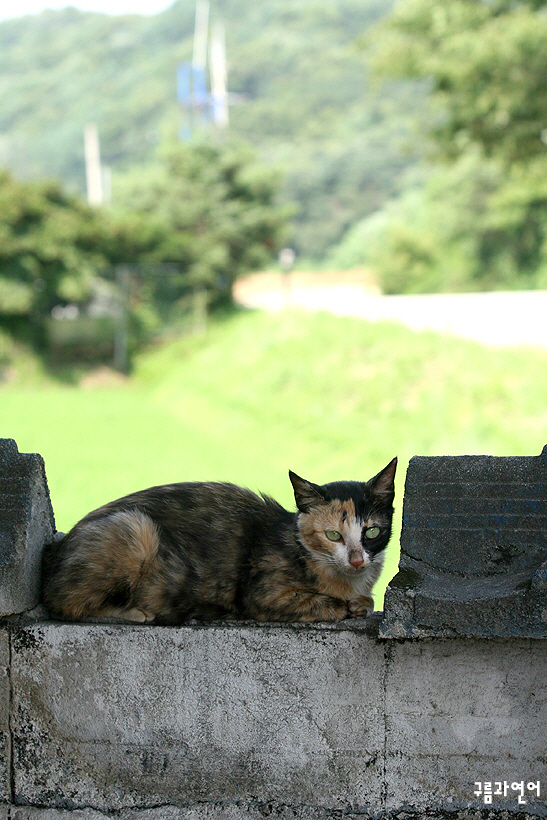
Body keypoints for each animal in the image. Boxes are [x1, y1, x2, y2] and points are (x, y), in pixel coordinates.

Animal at [40, 458, 396, 624]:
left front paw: (361, 603)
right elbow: (330, 604)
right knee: (65, 605)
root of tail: (55, 549)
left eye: (372, 532)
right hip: (136, 528)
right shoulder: (264, 594)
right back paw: (138, 612)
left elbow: (367, 601)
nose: (356, 560)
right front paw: (347, 606)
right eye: (333, 535)